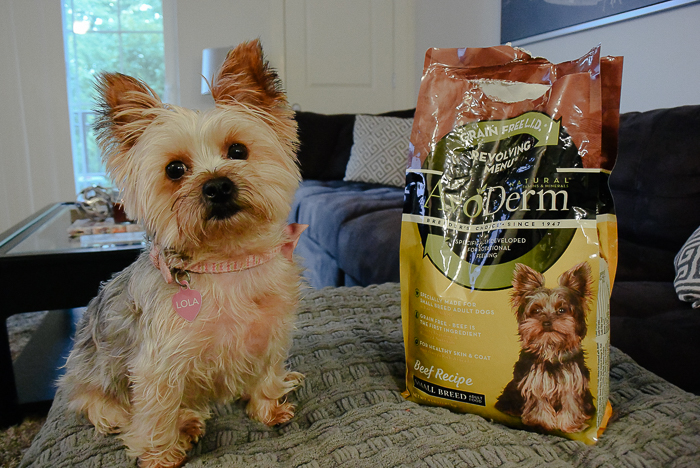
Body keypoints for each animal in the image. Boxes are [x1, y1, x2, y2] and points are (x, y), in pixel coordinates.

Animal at [58, 40, 305, 468]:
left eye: (237, 150)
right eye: (175, 169)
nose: (218, 186)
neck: (226, 262)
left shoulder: (271, 331)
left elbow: (267, 372)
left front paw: (268, 407)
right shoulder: (158, 363)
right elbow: (157, 409)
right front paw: (161, 455)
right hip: (92, 378)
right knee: (103, 406)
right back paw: (182, 422)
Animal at [495, 262, 596, 433]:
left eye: (562, 310)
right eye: (536, 310)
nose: (547, 322)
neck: (551, 348)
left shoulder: (572, 381)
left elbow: (571, 402)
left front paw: (570, 425)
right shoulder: (534, 381)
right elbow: (538, 402)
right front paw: (540, 424)